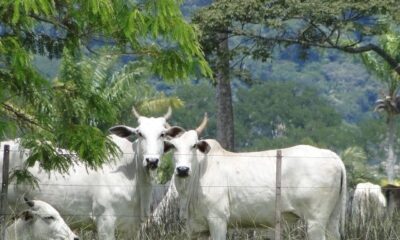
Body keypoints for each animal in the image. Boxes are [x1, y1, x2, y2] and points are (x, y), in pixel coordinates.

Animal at [162, 114, 346, 240]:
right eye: (173, 146)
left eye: (194, 146)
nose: (182, 170)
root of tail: (333, 156)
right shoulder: (197, 228)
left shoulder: (218, 220)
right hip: (332, 218)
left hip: (315, 220)